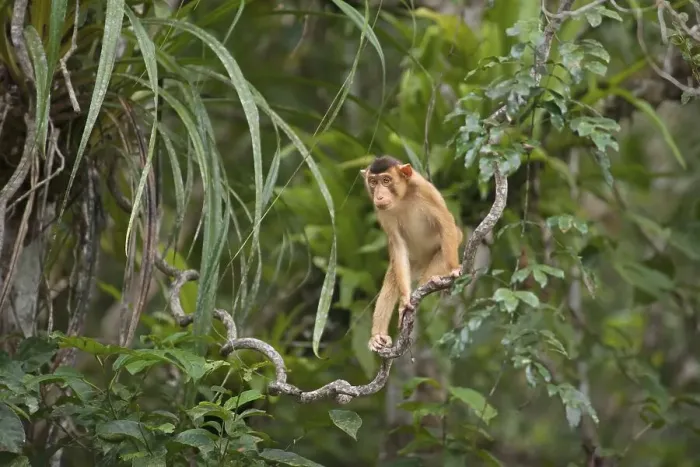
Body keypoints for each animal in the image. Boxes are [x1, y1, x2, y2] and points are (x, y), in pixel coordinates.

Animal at [360, 156, 464, 352]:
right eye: (373, 182)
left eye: (386, 180)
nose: (379, 195)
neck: (403, 197)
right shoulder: (382, 212)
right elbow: (398, 245)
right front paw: (404, 301)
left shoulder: (425, 190)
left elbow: (446, 223)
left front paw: (454, 269)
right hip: (412, 263)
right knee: (393, 278)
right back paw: (378, 335)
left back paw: (430, 281)